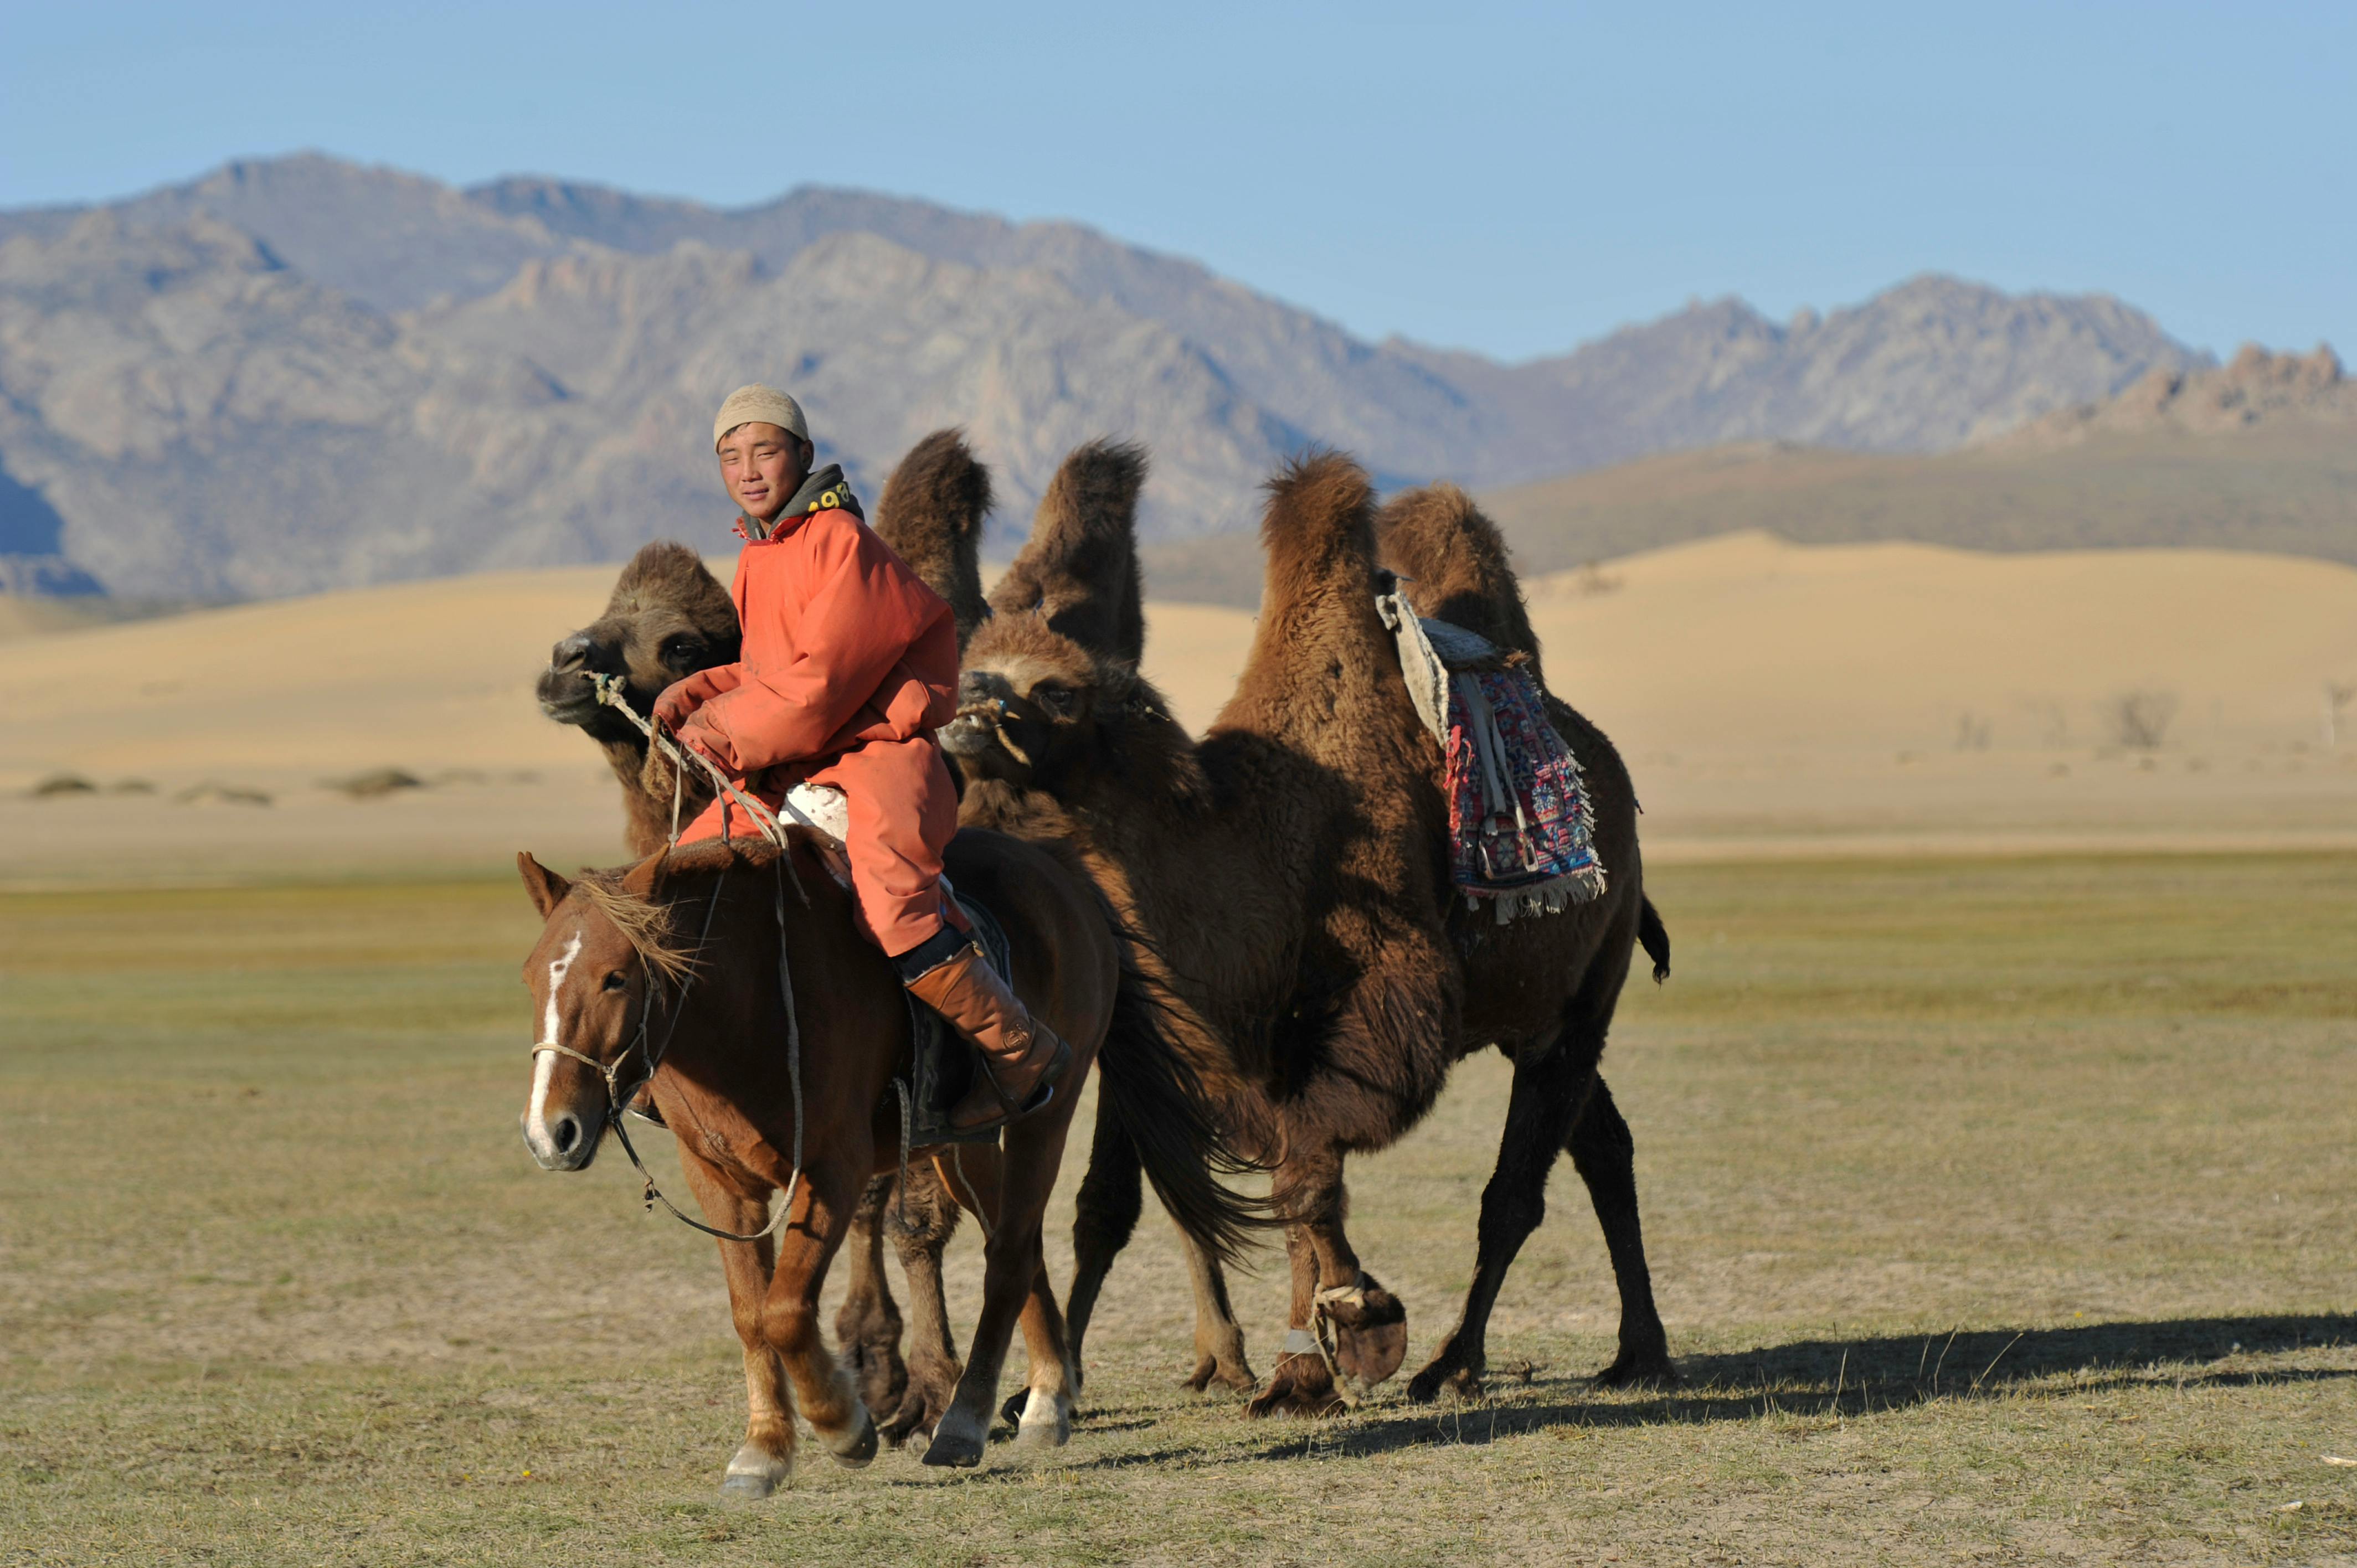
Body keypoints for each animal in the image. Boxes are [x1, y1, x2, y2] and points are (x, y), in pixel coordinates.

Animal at [513, 825, 1254, 1490]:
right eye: (531, 979)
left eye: (615, 977)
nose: (552, 1133)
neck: (748, 1006)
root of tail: (1061, 874)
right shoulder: (718, 1181)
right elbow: (750, 1313)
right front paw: (765, 1447)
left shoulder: (832, 1172)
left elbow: (785, 1310)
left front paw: (843, 1426)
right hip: (963, 1146)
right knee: (1019, 1244)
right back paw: (1049, 1394)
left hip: (1048, 1111)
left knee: (1009, 1255)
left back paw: (969, 1423)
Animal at [947, 450, 1669, 1405]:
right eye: (969, 670)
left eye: (1056, 690)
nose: (962, 720)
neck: (1263, 840)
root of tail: (1613, 785)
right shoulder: (1264, 1037)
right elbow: (1299, 1181)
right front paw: (1306, 1363)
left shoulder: (1386, 997)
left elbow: (1310, 1164)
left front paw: (1356, 1327)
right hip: (1529, 1011)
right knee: (1604, 1148)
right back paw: (1637, 1351)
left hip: (1585, 992)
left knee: (1517, 1190)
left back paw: (1456, 1363)